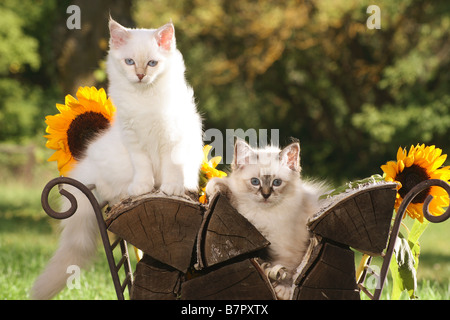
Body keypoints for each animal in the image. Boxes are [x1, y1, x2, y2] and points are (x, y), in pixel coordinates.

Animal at [29, 19, 202, 300]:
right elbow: (143, 169)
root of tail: (86, 168)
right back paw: (128, 193)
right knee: (112, 191)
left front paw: (171, 189)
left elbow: (171, 168)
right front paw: (144, 188)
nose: (140, 75)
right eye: (130, 62)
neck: (144, 99)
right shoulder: (134, 142)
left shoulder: (172, 138)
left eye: (152, 63)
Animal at [205, 140, 326, 300]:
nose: (266, 195)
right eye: (255, 181)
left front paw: (284, 289)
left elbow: (290, 268)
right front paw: (215, 186)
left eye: (277, 182)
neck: (265, 214)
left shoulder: (290, 246)